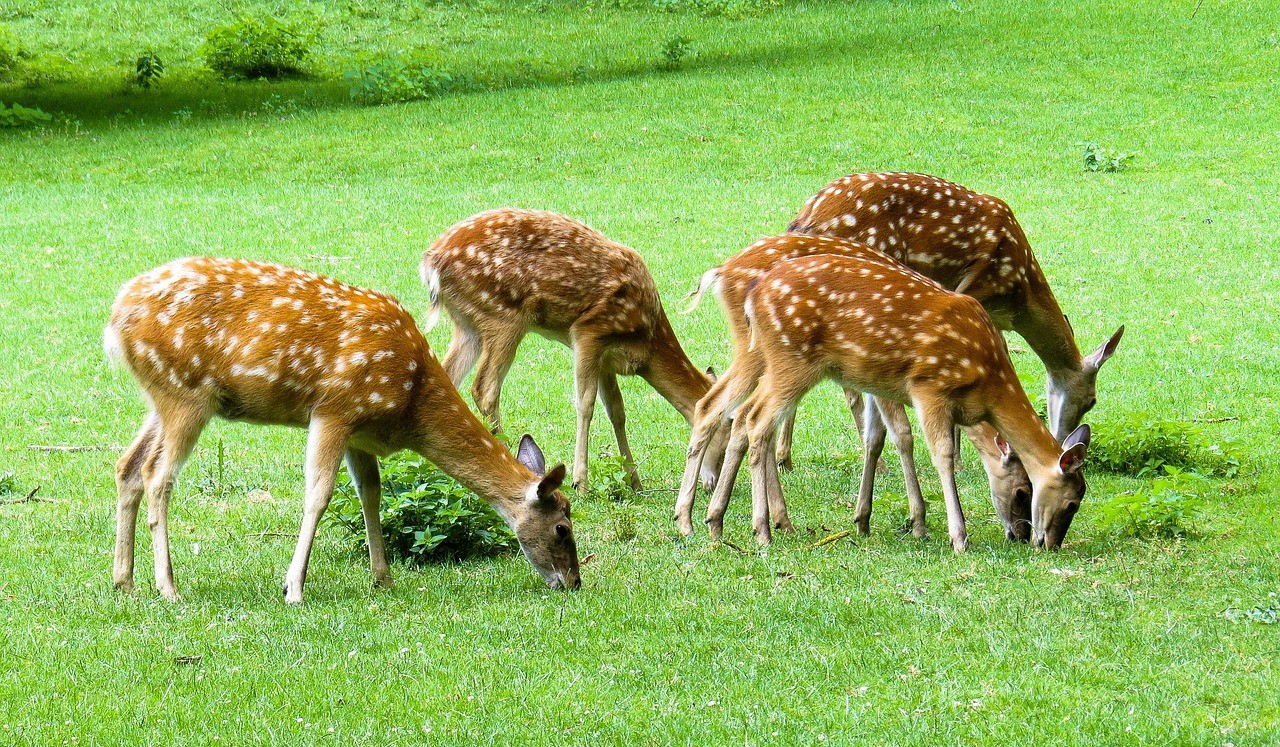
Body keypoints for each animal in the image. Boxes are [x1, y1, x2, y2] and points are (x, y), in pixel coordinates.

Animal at [105, 257, 580, 604]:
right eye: (562, 528)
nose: (574, 582)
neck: (410, 405)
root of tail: (115, 320)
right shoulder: (335, 409)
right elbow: (318, 494)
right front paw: (293, 588)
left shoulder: (360, 431)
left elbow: (370, 493)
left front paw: (383, 578)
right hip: (185, 393)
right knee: (157, 475)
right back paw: (168, 588)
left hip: (163, 397)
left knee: (127, 464)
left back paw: (124, 581)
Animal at [420, 208, 726, 494]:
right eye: (728, 424)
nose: (713, 482)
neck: (646, 342)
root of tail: (431, 262)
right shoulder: (589, 331)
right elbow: (585, 403)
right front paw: (581, 482)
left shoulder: (606, 357)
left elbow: (617, 410)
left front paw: (634, 480)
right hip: (503, 315)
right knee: (485, 388)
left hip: (467, 324)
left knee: (448, 378)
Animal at [717, 245, 1090, 551]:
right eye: (1022, 491)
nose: (1036, 540)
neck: (987, 384)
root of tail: (753, 296)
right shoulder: (929, 386)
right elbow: (940, 453)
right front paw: (957, 536)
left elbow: (877, 438)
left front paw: (870, 522)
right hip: (792, 360)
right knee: (756, 419)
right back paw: (762, 530)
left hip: (780, 363)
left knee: (742, 412)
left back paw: (716, 522)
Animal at [787, 171, 1123, 459]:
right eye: (1092, 400)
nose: (1063, 439)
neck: (1018, 298)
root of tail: (804, 217)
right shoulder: (976, 288)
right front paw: (964, 451)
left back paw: (785, 456)